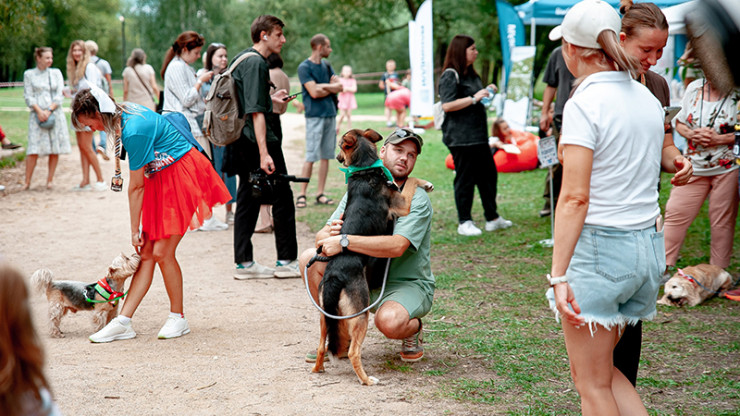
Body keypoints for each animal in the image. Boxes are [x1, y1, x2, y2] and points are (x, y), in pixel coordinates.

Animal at [310, 128, 428, 386]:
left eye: (340, 147)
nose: (337, 158)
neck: (366, 169)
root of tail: (334, 276)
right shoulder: (401, 205)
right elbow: (412, 181)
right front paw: (426, 182)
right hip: (360, 312)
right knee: (355, 351)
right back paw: (367, 380)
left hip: (325, 314)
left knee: (322, 345)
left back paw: (318, 369)